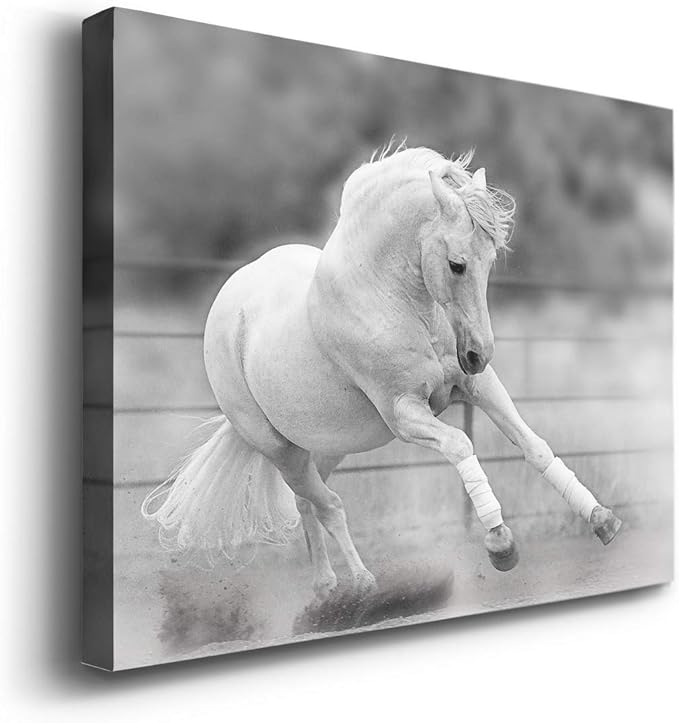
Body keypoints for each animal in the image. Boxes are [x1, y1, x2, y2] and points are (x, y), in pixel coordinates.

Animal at [142, 145, 622, 599]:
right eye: (457, 264)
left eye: (490, 261)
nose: (478, 353)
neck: (389, 299)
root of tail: (229, 305)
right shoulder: (405, 414)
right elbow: (461, 445)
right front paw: (500, 544)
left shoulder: (477, 387)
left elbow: (534, 446)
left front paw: (601, 518)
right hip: (280, 450)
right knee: (328, 505)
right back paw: (359, 584)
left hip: (326, 447)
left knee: (307, 504)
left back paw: (326, 588)